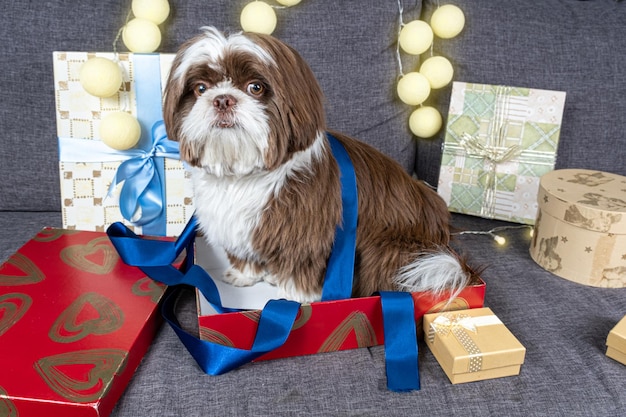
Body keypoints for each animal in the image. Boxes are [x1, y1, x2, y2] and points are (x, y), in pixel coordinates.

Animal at [163, 28, 476, 302]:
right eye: (200, 88)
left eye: (255, 87)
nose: (222, 99)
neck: (243, 174)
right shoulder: (239, 229)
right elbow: (245, 255)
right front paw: (244, 275)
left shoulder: (305, 236)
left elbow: (301, 267)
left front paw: (295, 298)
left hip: (389, 250)